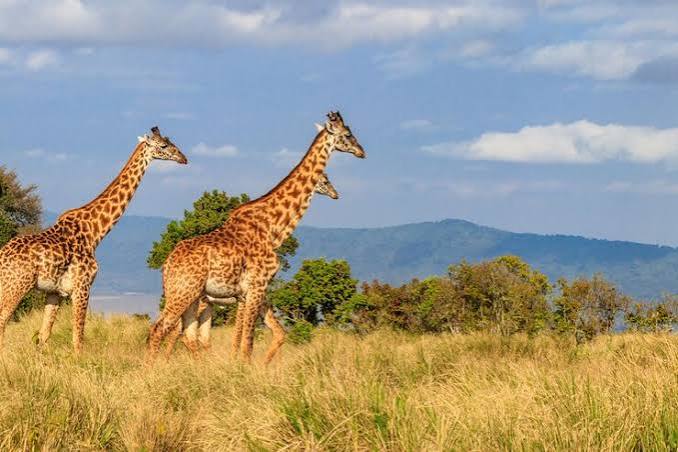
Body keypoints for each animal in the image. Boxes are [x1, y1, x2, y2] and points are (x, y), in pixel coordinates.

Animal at [0, 127, 187, 352]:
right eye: (164, 145)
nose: (183, 158)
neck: (95, 232)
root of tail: (2, 257)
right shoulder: (83, 286)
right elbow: (78, 339)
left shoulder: (56, 292)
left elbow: (44, 336)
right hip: (16, 286)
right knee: (2, 322)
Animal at [164, 171, 340, 357]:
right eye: (326, 181)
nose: (335, 194)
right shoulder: (244, 299)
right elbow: (240, 333)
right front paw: (236, 358)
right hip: (197, 300)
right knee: (177, 331)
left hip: (205, 303)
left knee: (194, 335)